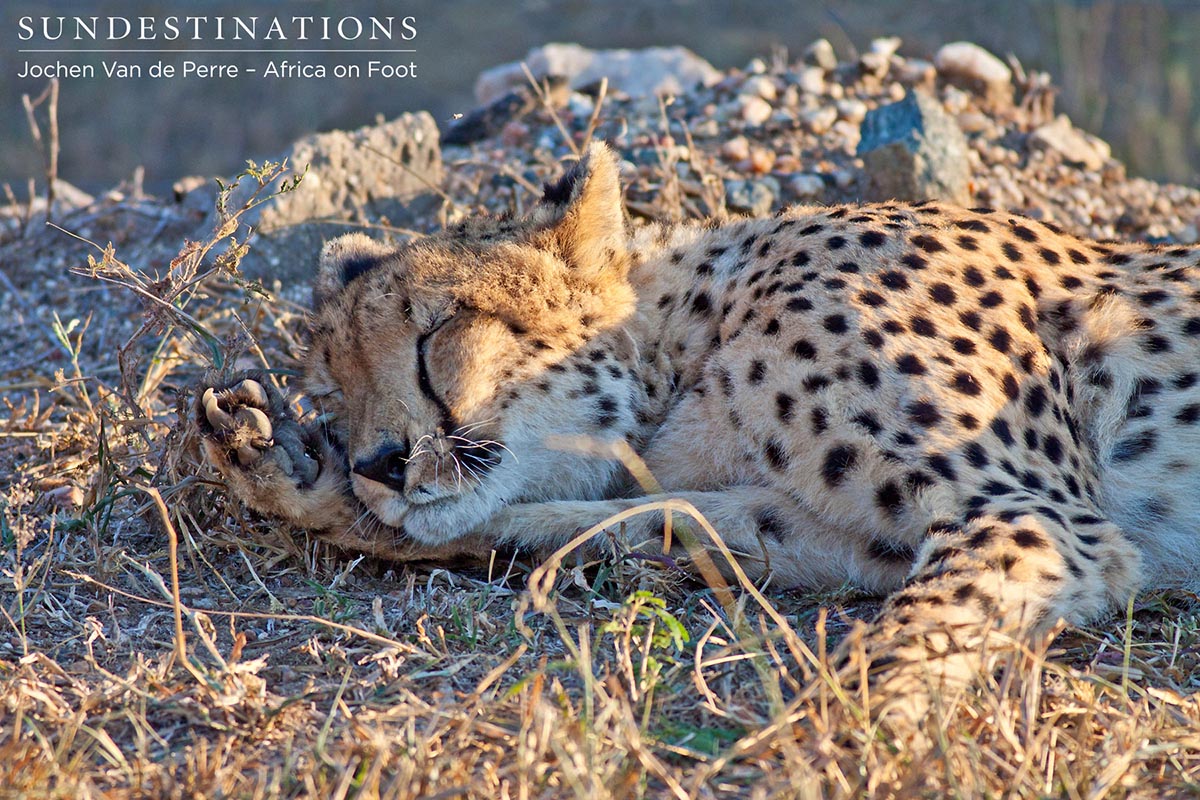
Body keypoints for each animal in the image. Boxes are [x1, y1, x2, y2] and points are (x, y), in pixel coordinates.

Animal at [197, 141, 1200, 716]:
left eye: (436, 332)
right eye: (336, 383)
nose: (379, 461)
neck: (696, 341)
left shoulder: (1040, 520)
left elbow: (897, 649)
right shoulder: (834, 536)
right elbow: (598, 524)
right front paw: (303, 484)